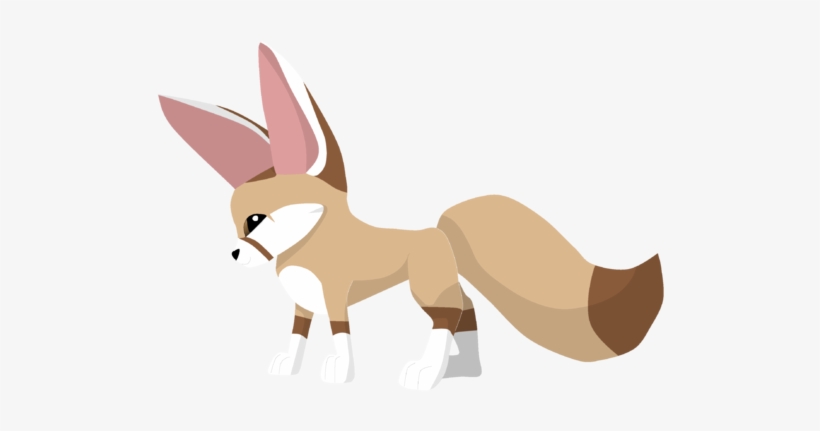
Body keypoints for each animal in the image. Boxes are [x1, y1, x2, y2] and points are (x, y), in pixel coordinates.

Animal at [158, 43, 664, 391]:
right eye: (236, 222)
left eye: (256, 220)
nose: (233, 254)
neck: (309, 243)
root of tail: (440, 229)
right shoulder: (303, 303)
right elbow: (297, 336)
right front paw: (289, 366)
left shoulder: (335, 297)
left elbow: (340, 335)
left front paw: (340, 371)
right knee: (466, 307)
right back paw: (461, 370)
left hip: (423, 286)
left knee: (449, 313)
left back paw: (427, 370)